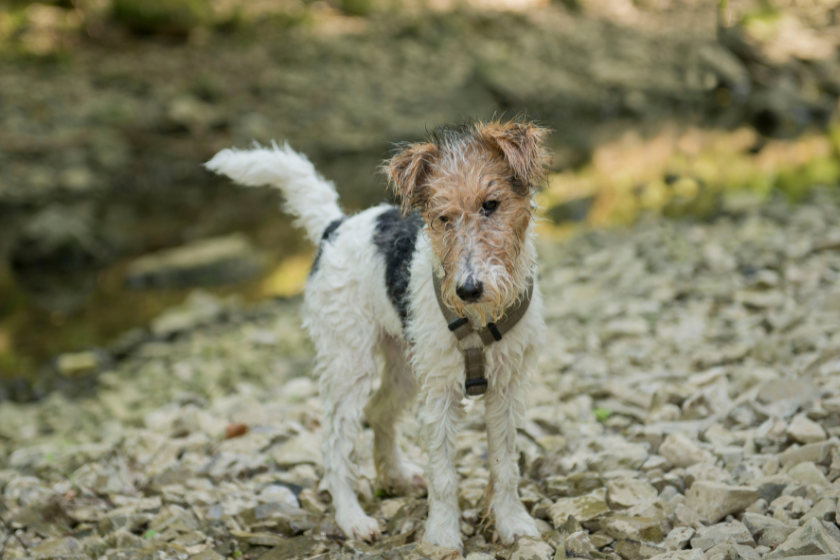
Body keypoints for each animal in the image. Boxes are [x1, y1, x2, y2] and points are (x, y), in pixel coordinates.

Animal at [207, 118, 552, 552]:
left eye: (491, 204)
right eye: (441, 217)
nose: (468, 289)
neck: (479, 320)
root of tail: (335, 226)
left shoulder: (505, 387)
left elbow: (505, 464)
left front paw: (512, 523)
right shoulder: (440, 393)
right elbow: (444, 476)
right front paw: (442, 537)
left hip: (405, 364)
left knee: (379, 413)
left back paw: (398, 475)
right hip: (348, 364)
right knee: (335, 446)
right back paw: (353, 518)